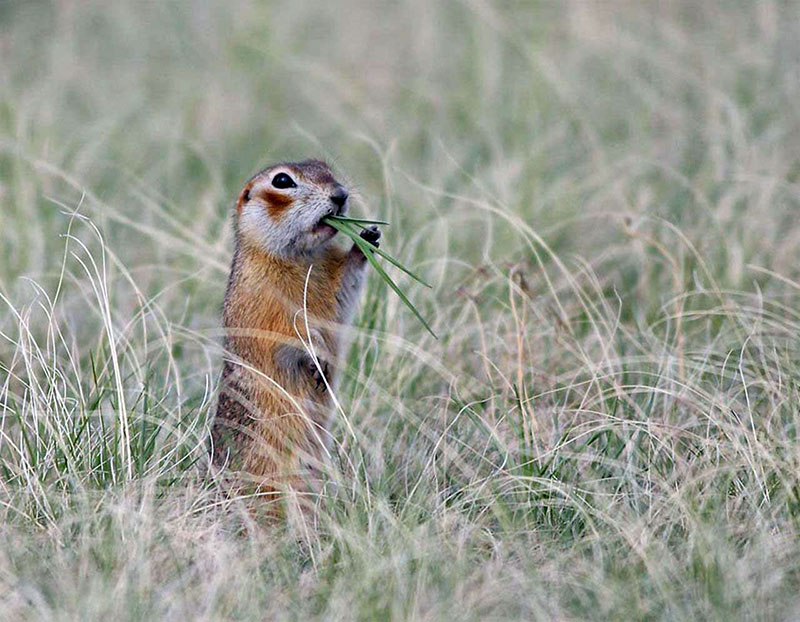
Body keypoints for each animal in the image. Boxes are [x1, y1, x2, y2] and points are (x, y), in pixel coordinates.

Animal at [209, 158, 378, 516]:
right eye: (282, 181)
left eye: (326, 166)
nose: (341, 195)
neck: (304, 256)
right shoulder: (267, 301)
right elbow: (289, 332)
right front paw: (316, 357)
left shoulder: (331, 281)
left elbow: (344, 288)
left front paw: (367, 238)